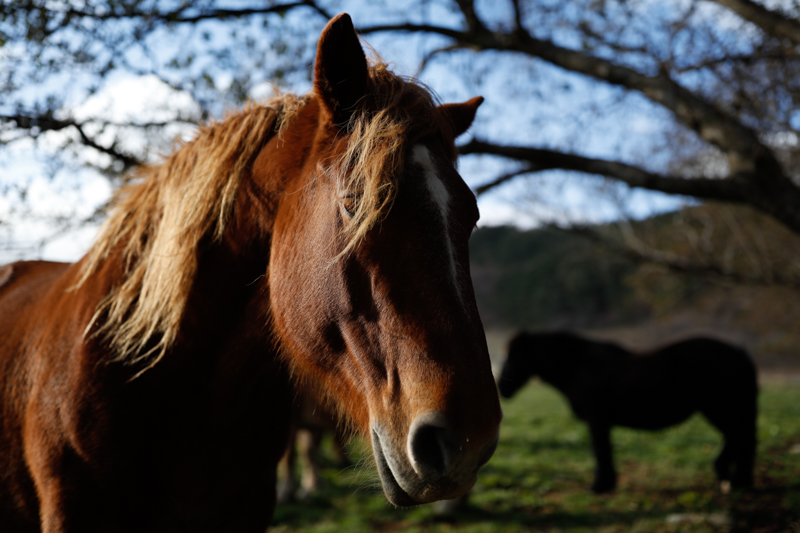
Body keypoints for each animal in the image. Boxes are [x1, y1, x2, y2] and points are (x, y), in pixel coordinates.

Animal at [498, 331, 757, 494]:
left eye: (513, 357)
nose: (502, 388)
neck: (578, 365)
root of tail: (739, 353)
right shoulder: (601, 422)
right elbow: (605, 451)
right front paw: (607, 483)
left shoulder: (597, 421)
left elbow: (601, 451)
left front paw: (600, 486)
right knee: (740, 439)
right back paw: (736, 480)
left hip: (722, 409)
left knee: (740, 438)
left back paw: (732, 478)